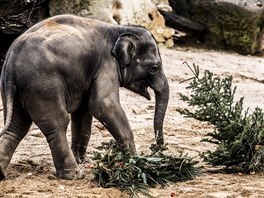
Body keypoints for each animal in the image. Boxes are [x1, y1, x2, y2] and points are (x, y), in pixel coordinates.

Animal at [0, 14, 169, 180]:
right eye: (154, 67)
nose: (157, 148)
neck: (120, 29)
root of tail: (11, 64)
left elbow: (84, 112)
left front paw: (85, 161)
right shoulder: (106, 64)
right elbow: (102, 105)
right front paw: (136, 162)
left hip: (17, 89)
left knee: (16, 127)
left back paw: (1, 173)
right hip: (42, 85)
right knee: (57, 123)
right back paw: (74, 174)